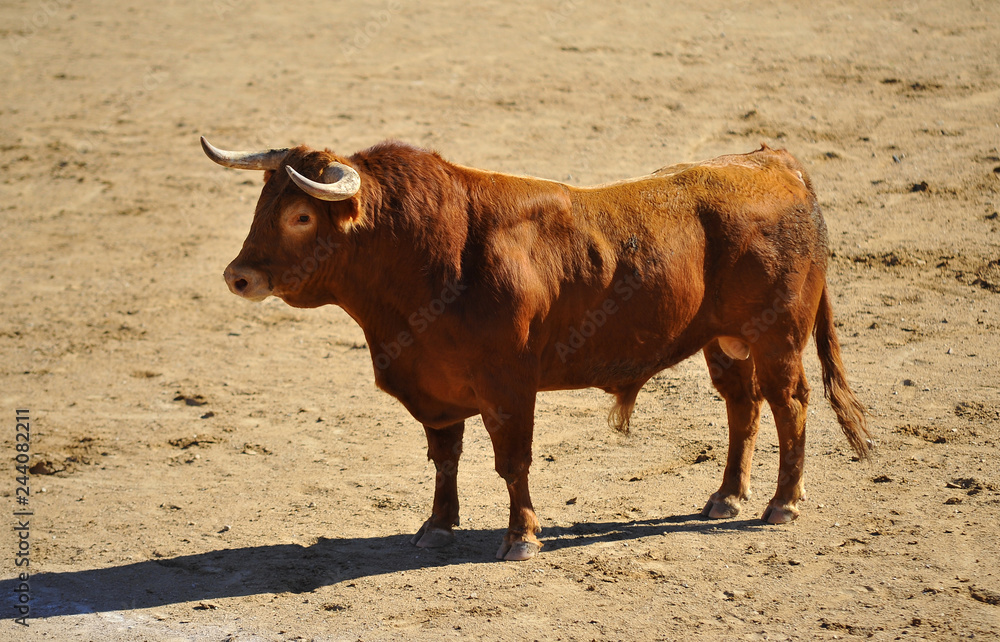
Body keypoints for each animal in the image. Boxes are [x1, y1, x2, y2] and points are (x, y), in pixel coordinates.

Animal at [201, 135, 872, 561]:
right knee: (742, 405)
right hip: (724, 343)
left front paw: (521, 537)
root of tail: (775, 162)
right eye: (263, 204)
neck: (427, 253)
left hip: (777, 336)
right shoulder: (435, 388)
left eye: (301, 217)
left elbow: (512, 462)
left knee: (789, 403)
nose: (238, 277)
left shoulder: (509, 387)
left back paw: (782, 503)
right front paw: (437, 526)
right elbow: (444, 458)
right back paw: (727, 496)